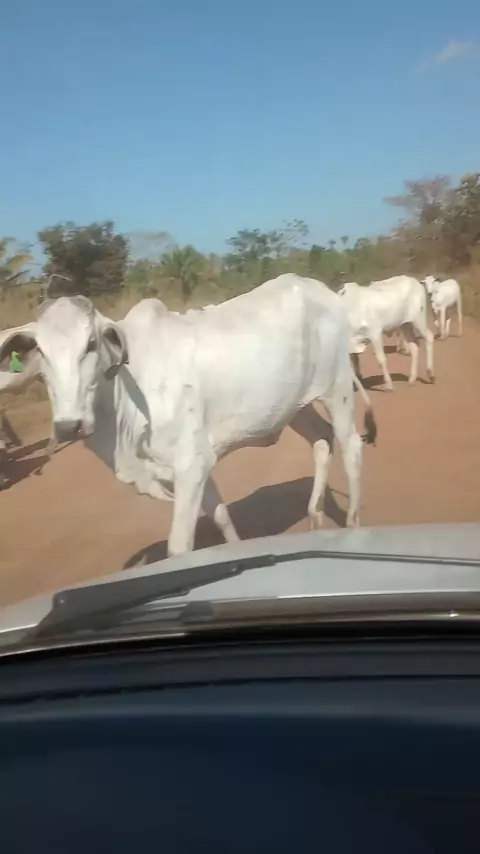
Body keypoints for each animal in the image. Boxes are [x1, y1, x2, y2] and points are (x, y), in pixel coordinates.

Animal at [0, 274, 377, 557]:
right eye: (40, 351)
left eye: (90, 344)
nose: (68, 426)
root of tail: (319, 288)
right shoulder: (198, 467)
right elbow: (222, 517)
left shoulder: (191, 465)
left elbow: (179, 547)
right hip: (295, 405)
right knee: (322, 439)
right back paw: (314, 517)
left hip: (337, 388)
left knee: (351, 447)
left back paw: (353, 524)